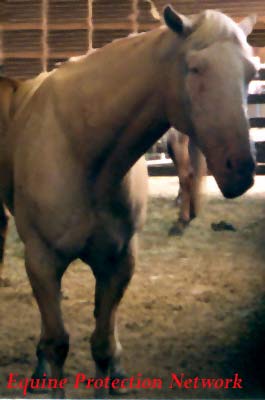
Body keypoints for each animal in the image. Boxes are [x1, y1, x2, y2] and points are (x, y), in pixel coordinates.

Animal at [0, 5, 256, 396]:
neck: (82, 149)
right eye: (195, 68)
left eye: (252, 72)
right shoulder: (42, 259)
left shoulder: (120, 261)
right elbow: (58, 345)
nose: (240, 169)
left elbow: (103, 347)